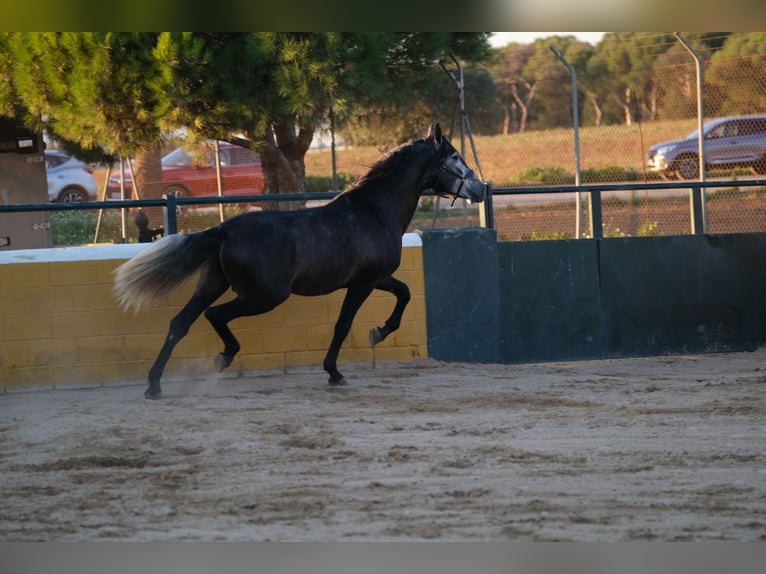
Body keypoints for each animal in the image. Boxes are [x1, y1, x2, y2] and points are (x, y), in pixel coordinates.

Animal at [114, 123, 486, 398]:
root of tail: (224, 229)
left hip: (212, 284)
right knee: (213, 315)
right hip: (264, 296)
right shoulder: (363, 283)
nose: (481, 190)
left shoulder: (376, 277)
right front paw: (336, 371)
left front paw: (379, 332)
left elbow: (405, 293)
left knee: (181, 323)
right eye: (454, 156)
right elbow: (343, 324)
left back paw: (154, 385)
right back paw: (222, 357)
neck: (375, 210)